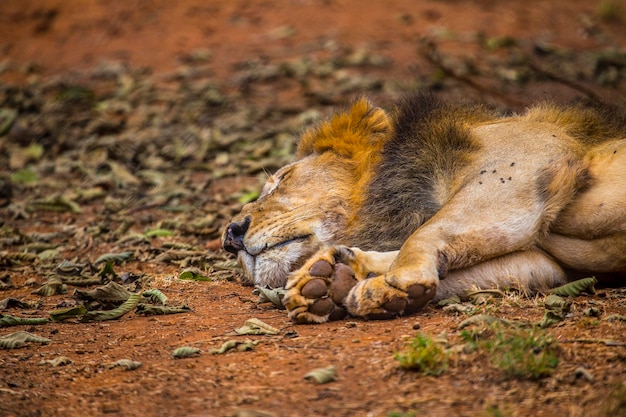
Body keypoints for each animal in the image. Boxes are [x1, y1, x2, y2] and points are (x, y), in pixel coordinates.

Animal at [222, 94, 620, 322]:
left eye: (283, 179)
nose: (230, 236)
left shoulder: (528, 158)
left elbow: (426, 231)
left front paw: (393, 281)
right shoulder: (547, 263)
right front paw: (335, 282)